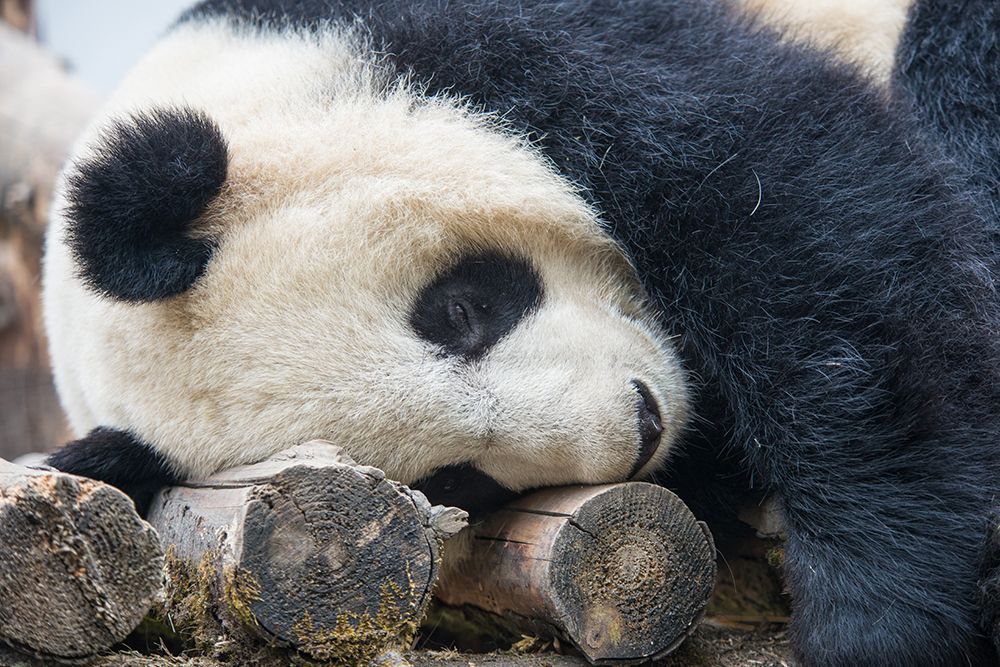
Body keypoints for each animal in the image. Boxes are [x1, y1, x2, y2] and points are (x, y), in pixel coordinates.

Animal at [43, 1, 1000, 667]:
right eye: (452, 478)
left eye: (459, 310)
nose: (638, 427)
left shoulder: (532, 51)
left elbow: (801, 228)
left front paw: (875, 612)